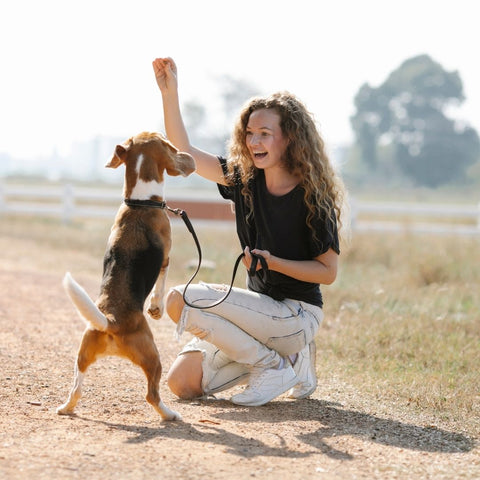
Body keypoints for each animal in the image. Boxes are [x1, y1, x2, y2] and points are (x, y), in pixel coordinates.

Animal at [57, 131, 195, 420]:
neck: (140, 203)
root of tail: (111, 321)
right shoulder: (166, 258)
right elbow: (160, 287)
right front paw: (156, 308)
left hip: (82, 355)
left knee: (76, 389)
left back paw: (66, 408)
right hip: (153, 357)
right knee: (152, 395)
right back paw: (170, 414)